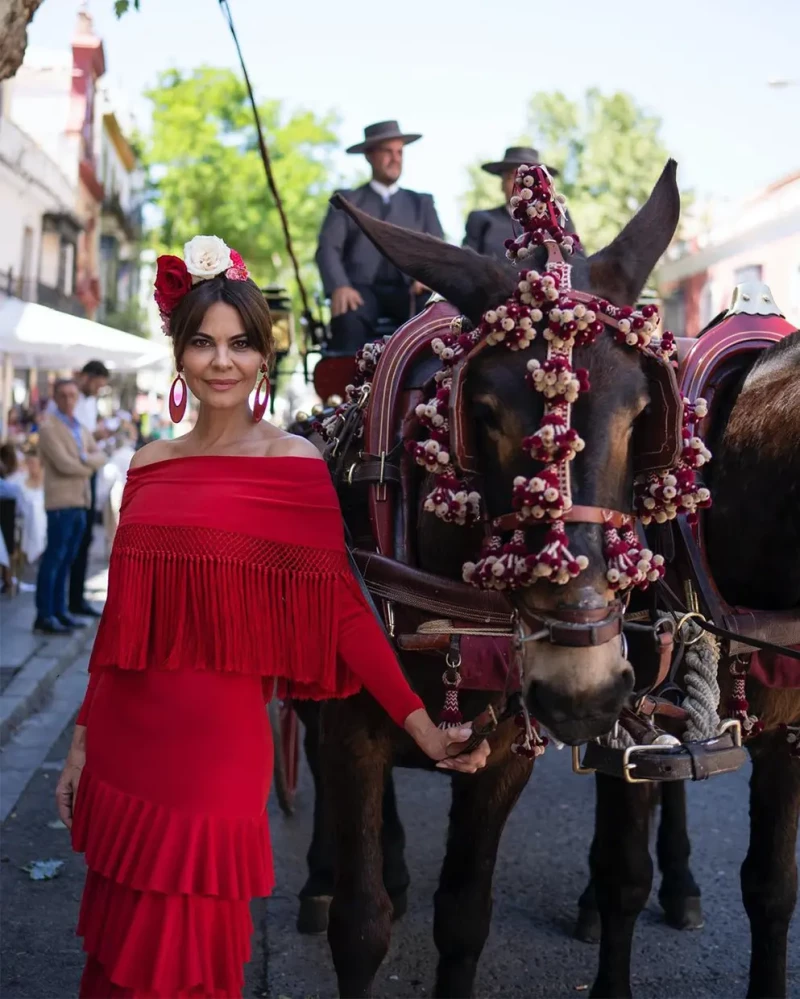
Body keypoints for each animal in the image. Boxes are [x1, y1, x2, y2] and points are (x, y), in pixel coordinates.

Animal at [314, 160, 688, 996]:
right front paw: (346, 892)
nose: (584, 691)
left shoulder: (509, 745)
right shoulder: (350, 731)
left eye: (642, 414)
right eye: (481, 411)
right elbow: (359, 926)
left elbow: (463, 916)